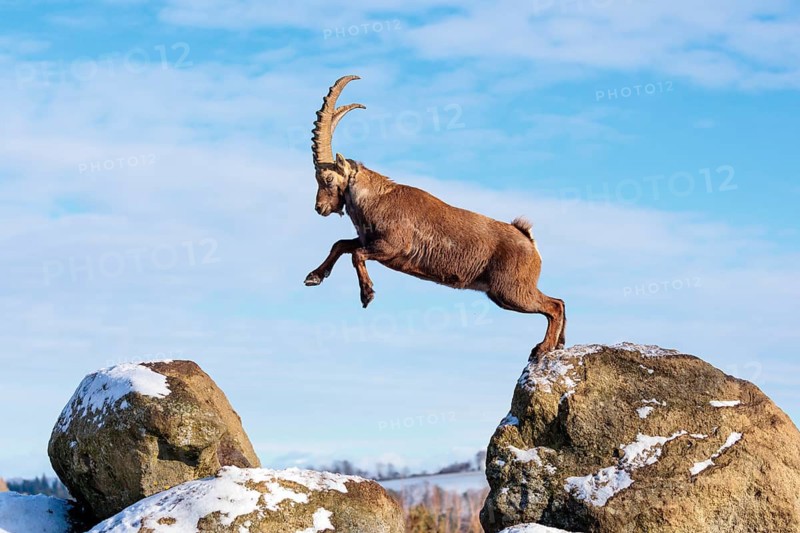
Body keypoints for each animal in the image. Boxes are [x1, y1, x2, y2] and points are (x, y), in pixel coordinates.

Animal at [304, 75, 566, 357]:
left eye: (327, 179)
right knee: (559, 301)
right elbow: (341, 245)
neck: (375, 199)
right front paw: (314, 277)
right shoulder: (370, 241)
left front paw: (367, 294)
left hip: (511, 290)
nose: (319, 207)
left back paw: (542, 348)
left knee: (553, 305)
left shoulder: (392, 247)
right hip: (505, 293)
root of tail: (528, 240)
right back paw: (559, 343)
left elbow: (356, 254)